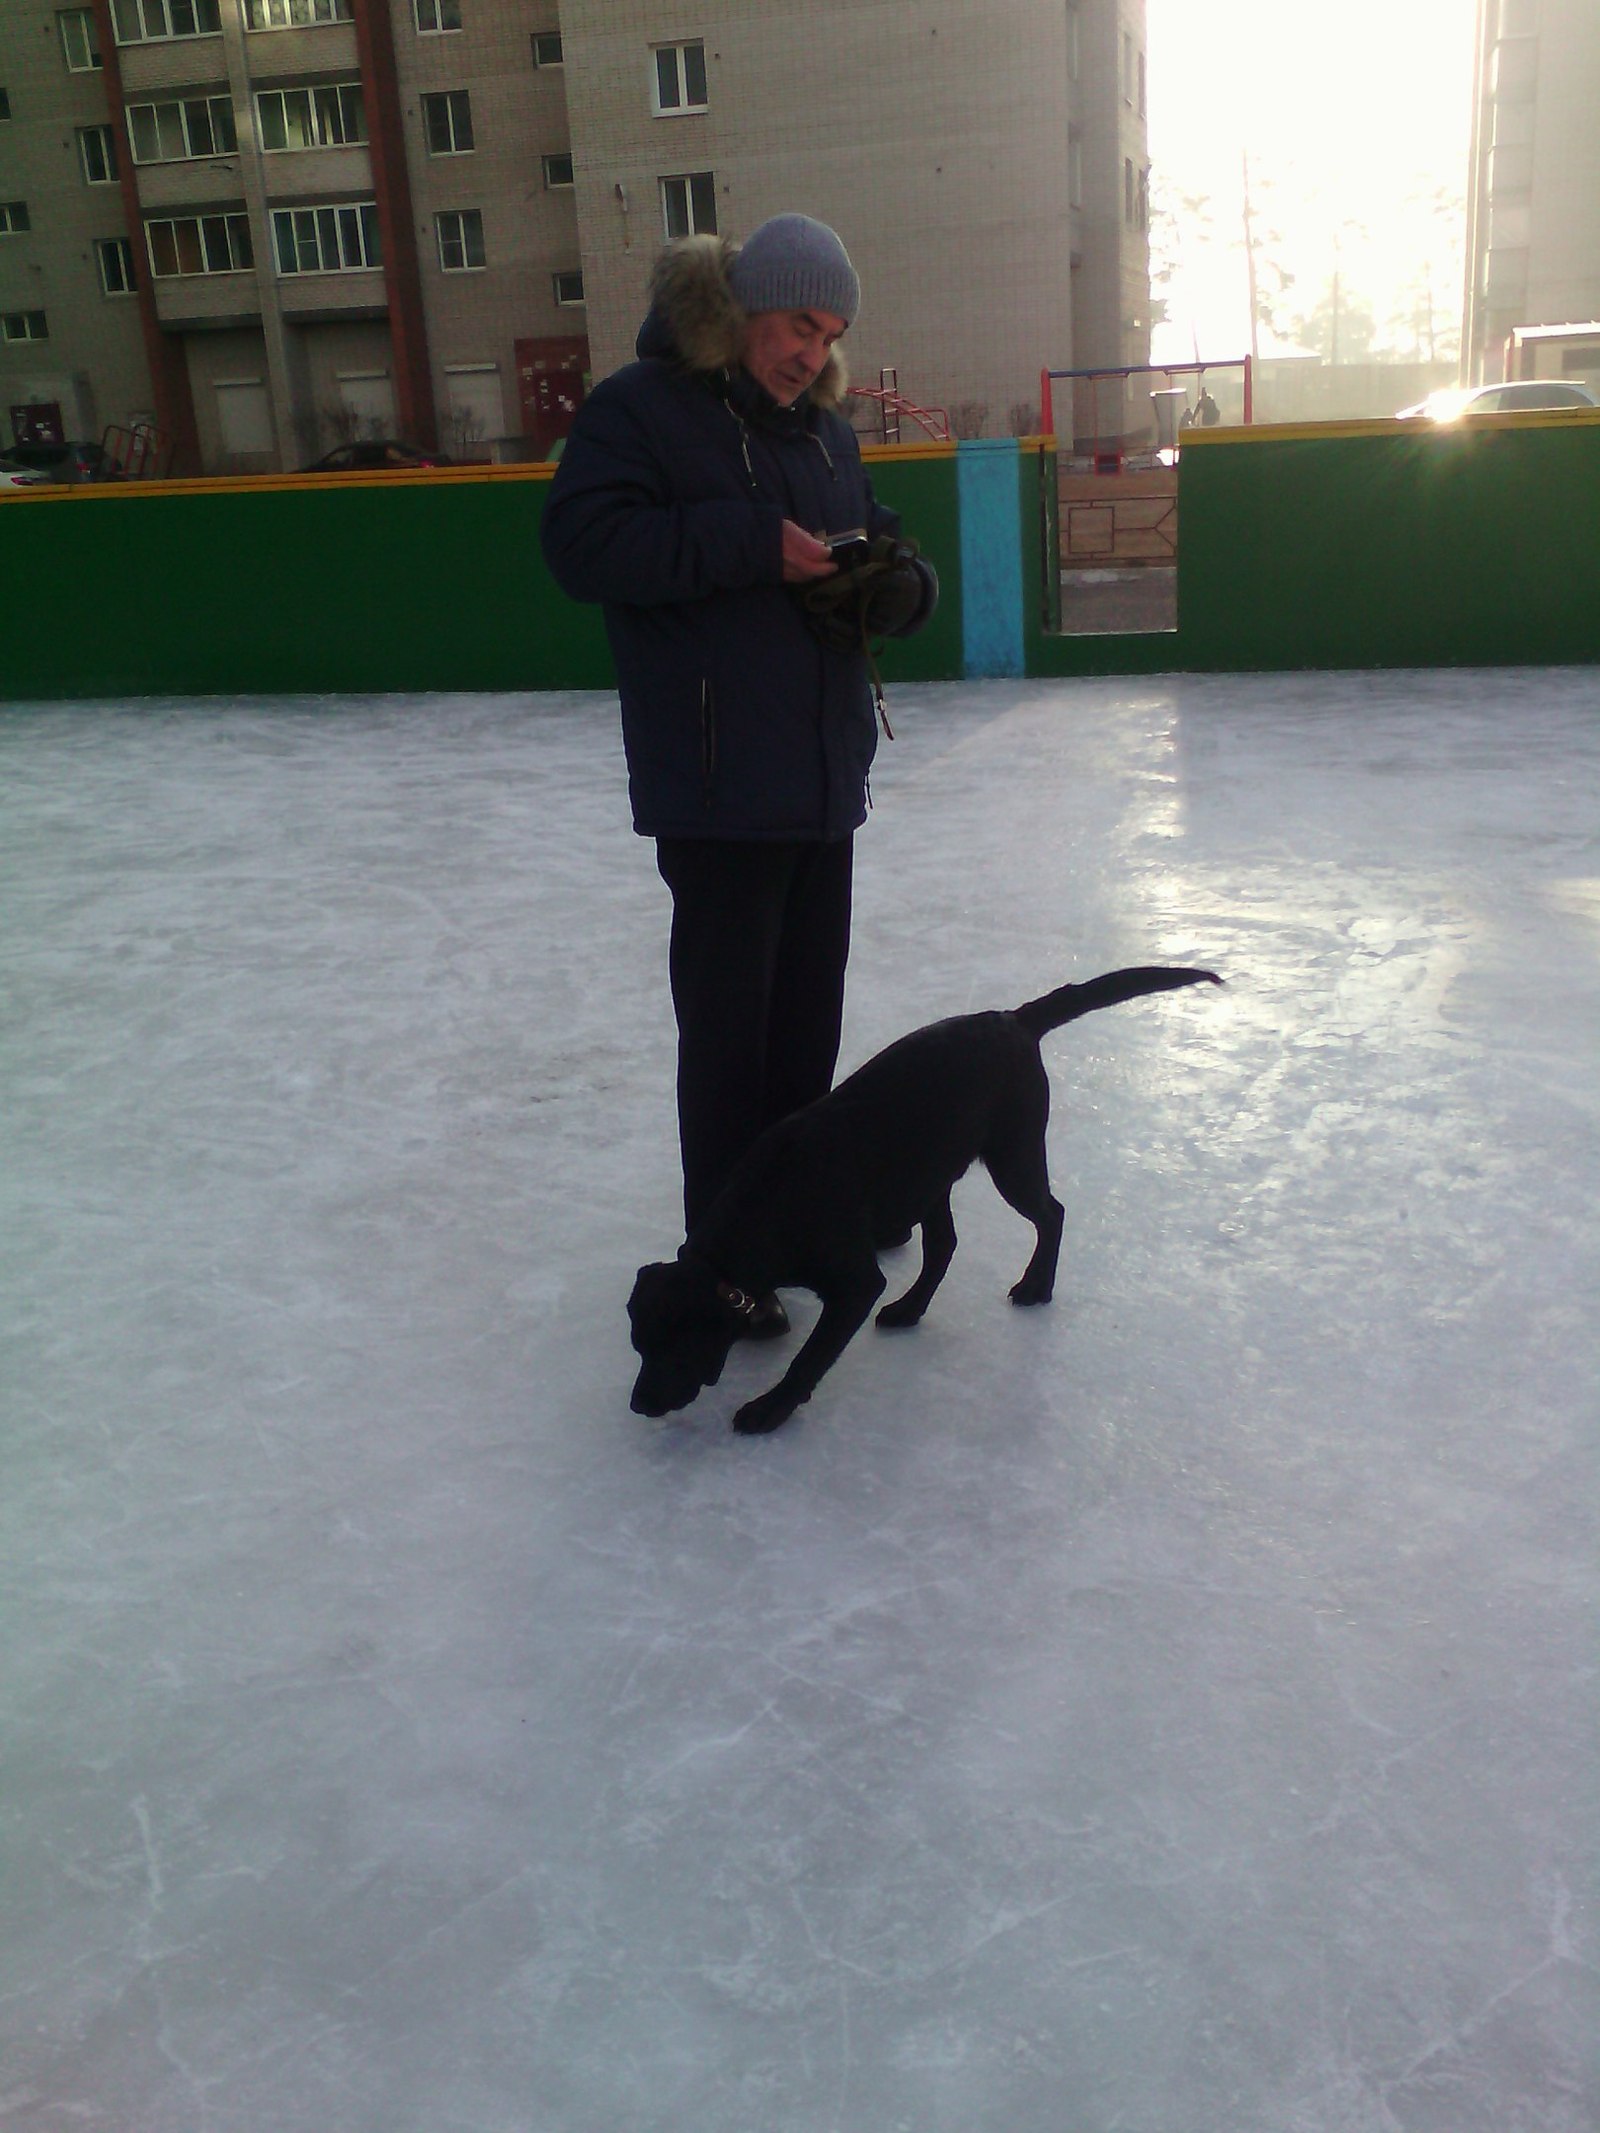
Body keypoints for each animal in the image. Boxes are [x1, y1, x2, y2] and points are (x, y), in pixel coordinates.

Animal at [631, 964, 1220, 1433]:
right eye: (640, 1344)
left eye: (673, 1346)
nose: (639, 1405)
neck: (766, 1209)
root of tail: (1013, 1019)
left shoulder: (854, 1284)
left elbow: (810, 1357)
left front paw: (769, 1410)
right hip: (929, 1177)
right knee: (945, 1245)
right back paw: (911, 1307)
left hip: (1012, 1154)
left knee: (1051, 1214)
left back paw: (1036, 1287)